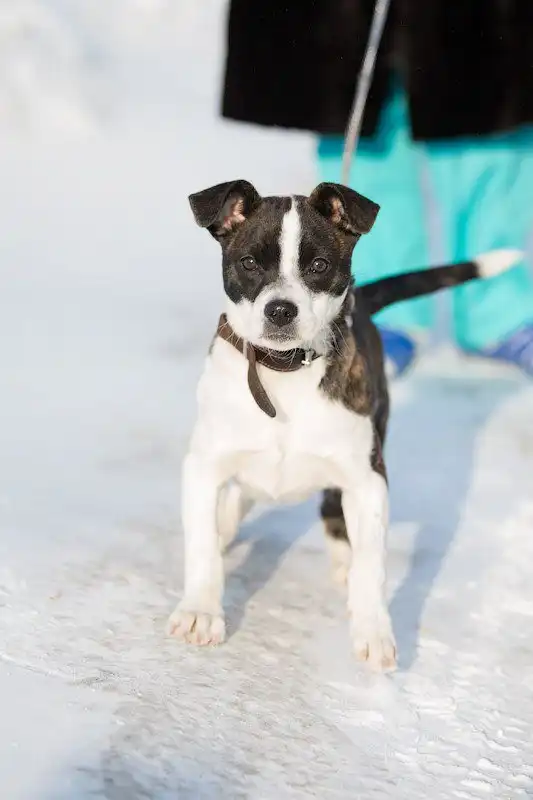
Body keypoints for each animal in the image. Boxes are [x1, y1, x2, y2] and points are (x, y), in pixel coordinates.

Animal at [167, 179, 521, 671]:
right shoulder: (204, 465)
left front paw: (373, 631)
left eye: (318, 266)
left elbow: (372, 564)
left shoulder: (367, 480)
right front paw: (200, 611)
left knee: (333, 510)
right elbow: (202, 543)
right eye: (249, 263)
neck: (283, 373)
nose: (281, 310)